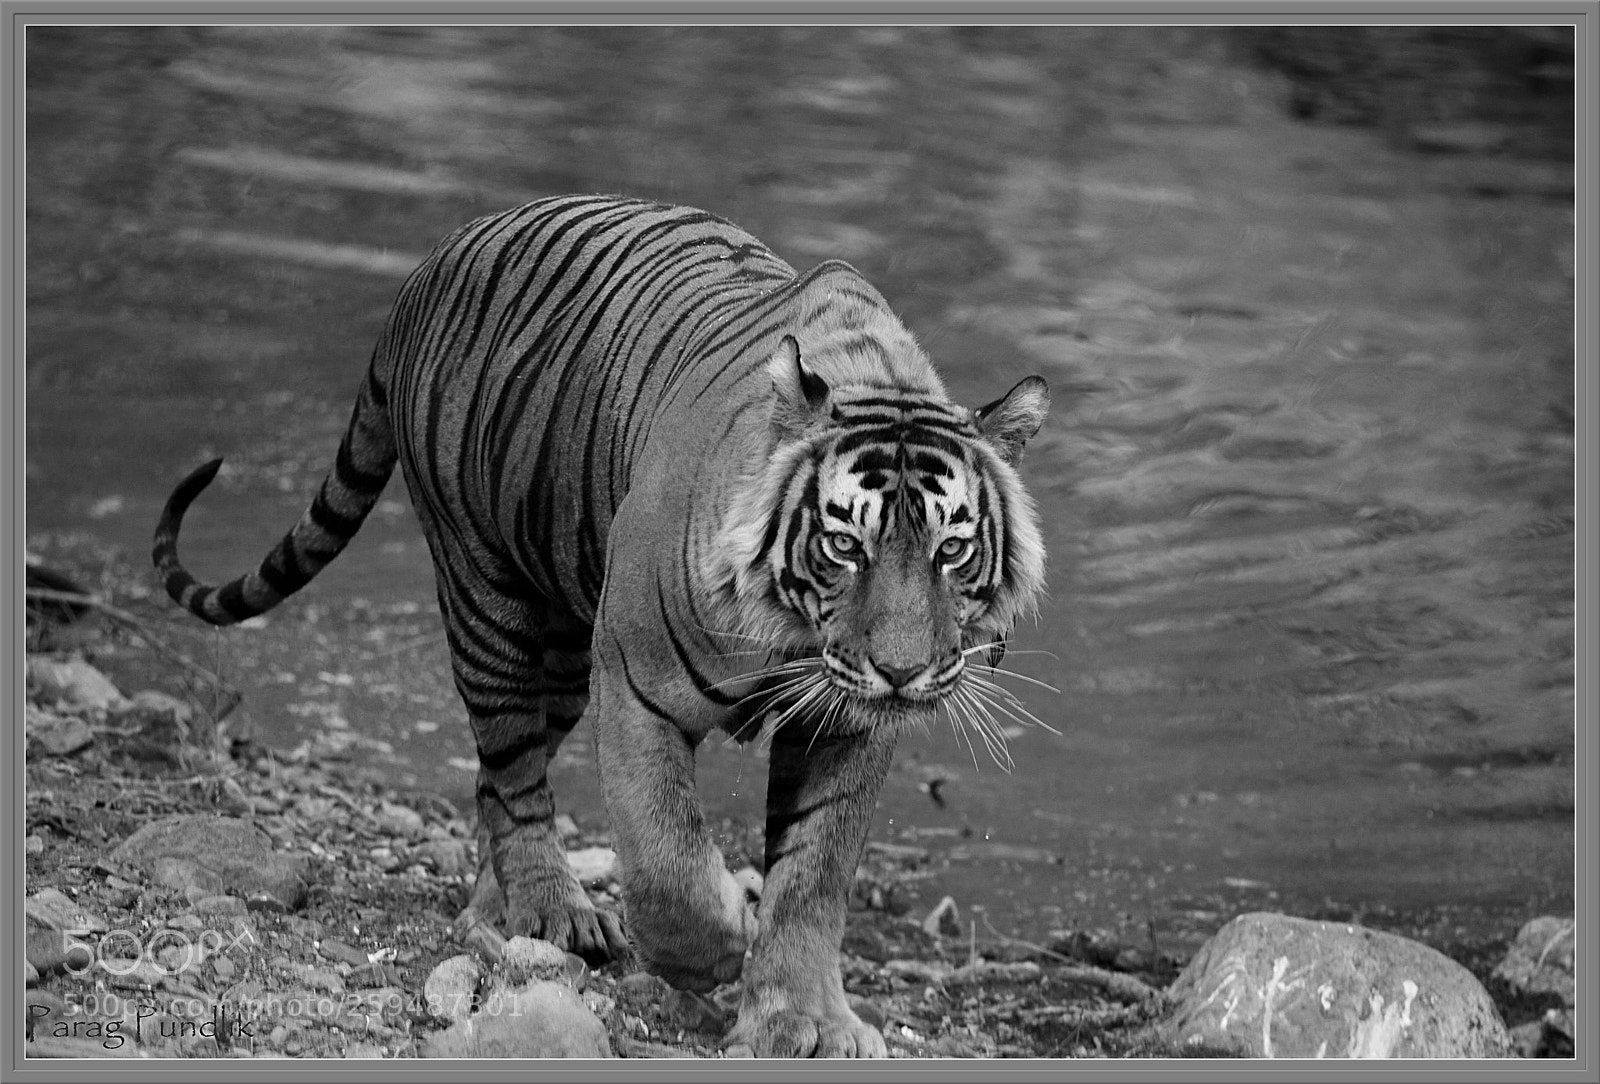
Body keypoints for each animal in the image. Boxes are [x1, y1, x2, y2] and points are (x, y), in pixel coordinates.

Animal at [153, 194, 1050, 1058]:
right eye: (843, 545)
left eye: (951, 549)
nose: (901, 672)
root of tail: (424, 270)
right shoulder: (637, 685)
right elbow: (665, 852)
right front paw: (715, 944)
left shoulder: (847, 730)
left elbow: (813, 878)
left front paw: (806, 1020)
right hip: (489, 599)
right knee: (512, 769)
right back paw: (553, 912)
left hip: (558, 650)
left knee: (494, 780)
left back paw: (502, 915)